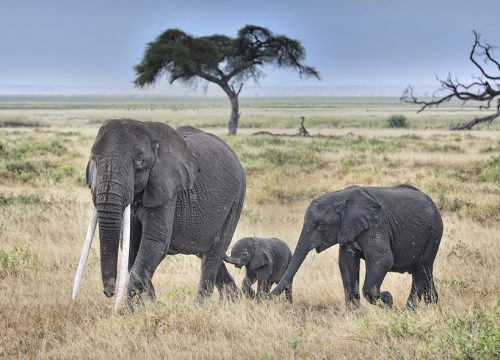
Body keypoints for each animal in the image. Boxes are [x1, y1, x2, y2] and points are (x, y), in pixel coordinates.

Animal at [72, 119, 246, 308]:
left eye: (139, 162)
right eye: (94, 160)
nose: (109, 292)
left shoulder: (167, 188)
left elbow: (154, 242)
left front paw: (127, 311)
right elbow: (131, 247)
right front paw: (149, 305)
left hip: (236, 199)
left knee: (214, 253)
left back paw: (200, 307)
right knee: (207, 252)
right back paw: (233, 302)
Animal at [272, 184, 444, 308]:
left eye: (320, 225)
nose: (267, 298)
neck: (340, 196)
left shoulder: (376, 226)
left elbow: (382, 260)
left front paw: (388, 299)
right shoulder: (348, 230)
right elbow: (346, 263)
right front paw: (354, 313)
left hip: (433, 234)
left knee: (421, 271)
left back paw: (408, 312)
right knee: (425, 273)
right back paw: (433, 306)